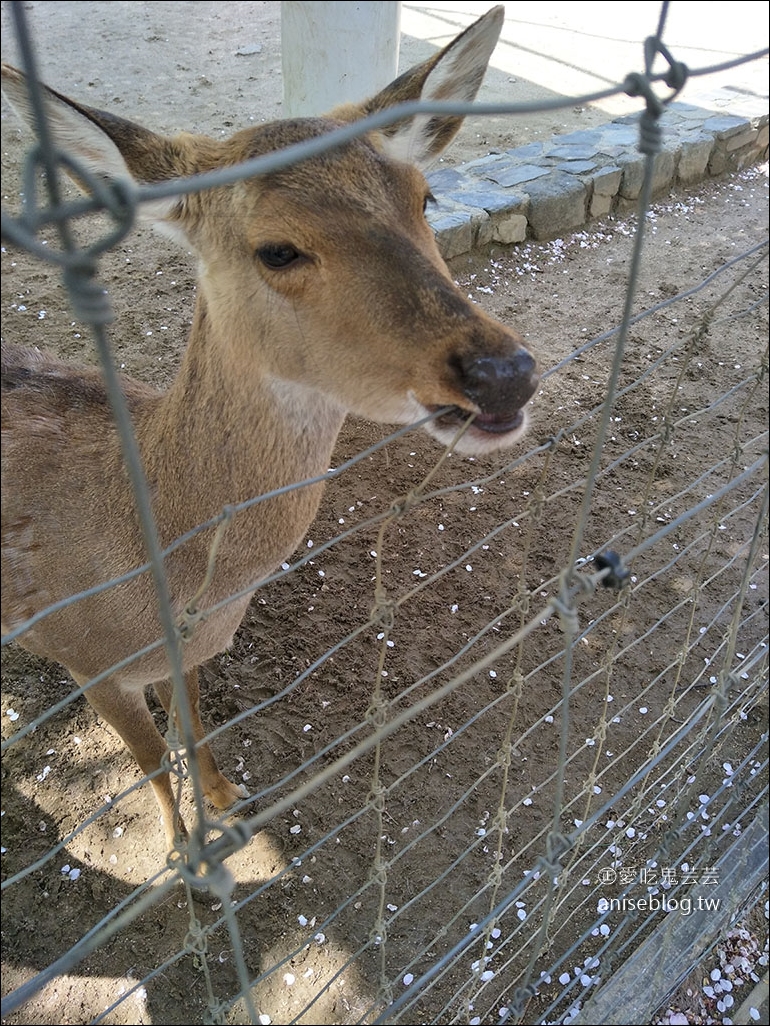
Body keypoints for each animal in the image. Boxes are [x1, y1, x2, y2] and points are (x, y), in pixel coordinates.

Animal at [1, 4, 542, 845]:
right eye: (277, 249)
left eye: (425, 198)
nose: (504, 372)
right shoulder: (87, 660)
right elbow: (149, 759)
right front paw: (187, 856)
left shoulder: (182, 656)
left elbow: (191, 720)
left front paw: (228, 801)